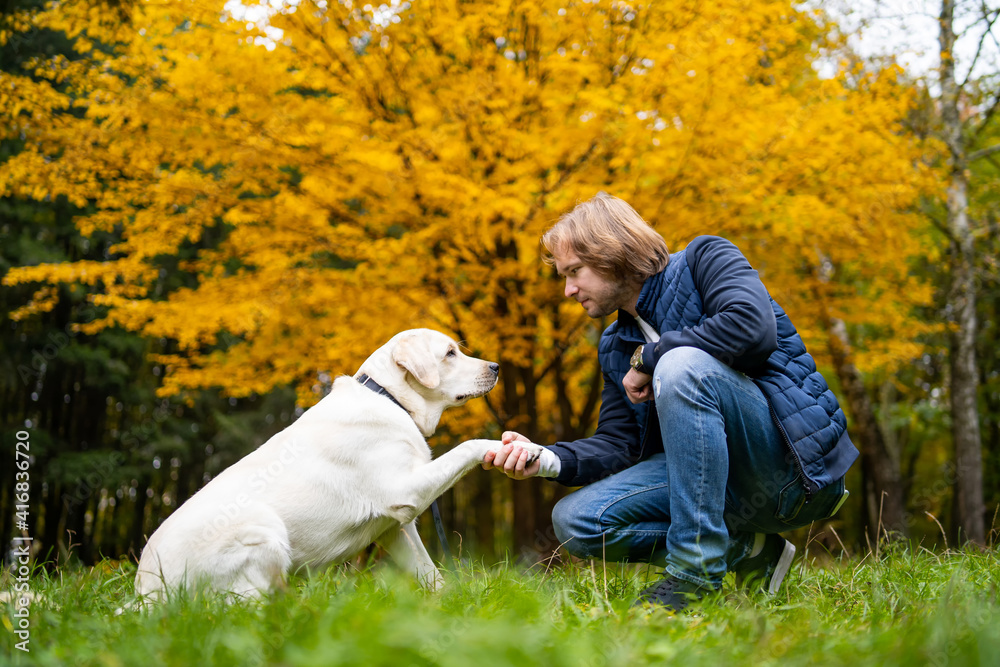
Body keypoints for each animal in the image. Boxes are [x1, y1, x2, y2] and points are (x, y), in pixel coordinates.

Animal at [135, 332, 548, 604]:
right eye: (449, 353)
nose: (496, 367)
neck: (390, 399)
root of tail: (145, 593)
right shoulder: (405, 491)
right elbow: (468, 445)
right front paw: (520, 448)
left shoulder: (396, 527)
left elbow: (429, 571)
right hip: (261, 529)